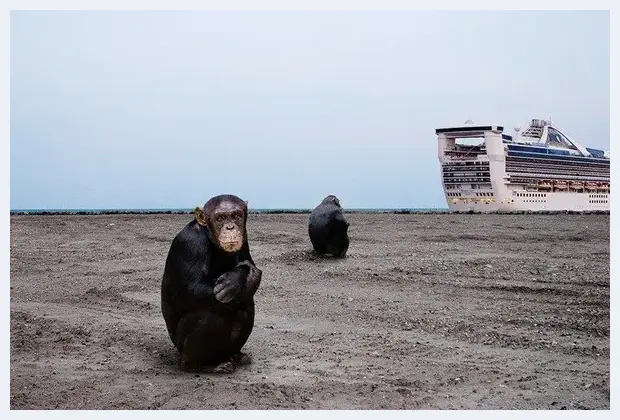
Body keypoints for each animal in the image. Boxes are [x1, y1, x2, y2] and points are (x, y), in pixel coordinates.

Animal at [161, 195, 260, 372]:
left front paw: (239, 279)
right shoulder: (190, 243)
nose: (230, 227)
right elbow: (192, 289)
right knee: (209, 314)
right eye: (220, 218)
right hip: (181, 347)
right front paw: (235, 283)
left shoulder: (245, 237)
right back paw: (199, 366)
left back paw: (235, 356)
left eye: (236, 216)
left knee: (246, 304)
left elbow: (249, 263)